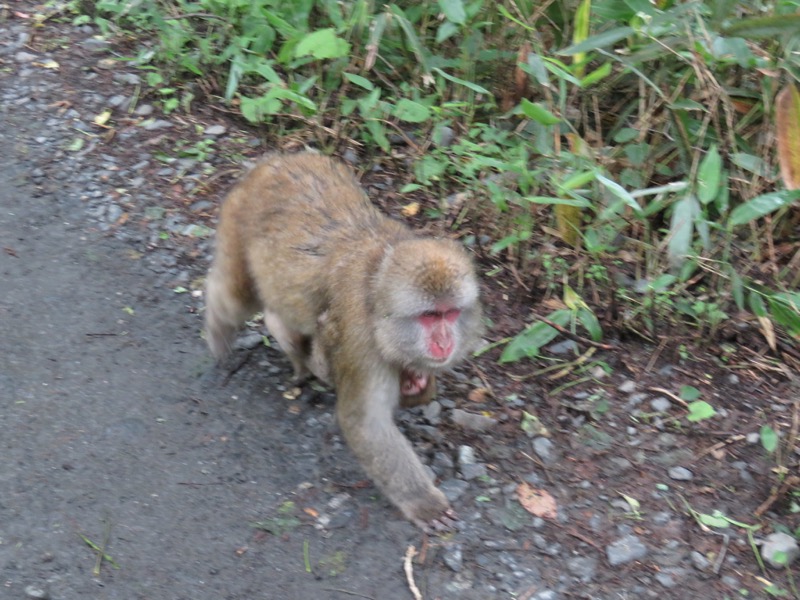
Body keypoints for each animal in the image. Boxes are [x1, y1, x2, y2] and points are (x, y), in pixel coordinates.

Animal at [205, 154, 482, 528]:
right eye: (429, 316)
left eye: (450, 314)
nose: (443, 342)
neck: (377, 287)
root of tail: (275, 161)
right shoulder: (360, 340)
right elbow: (366, 423)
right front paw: (424, 502)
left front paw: (417, 384)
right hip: (238, 217)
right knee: (235, 298)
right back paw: (223, 332)